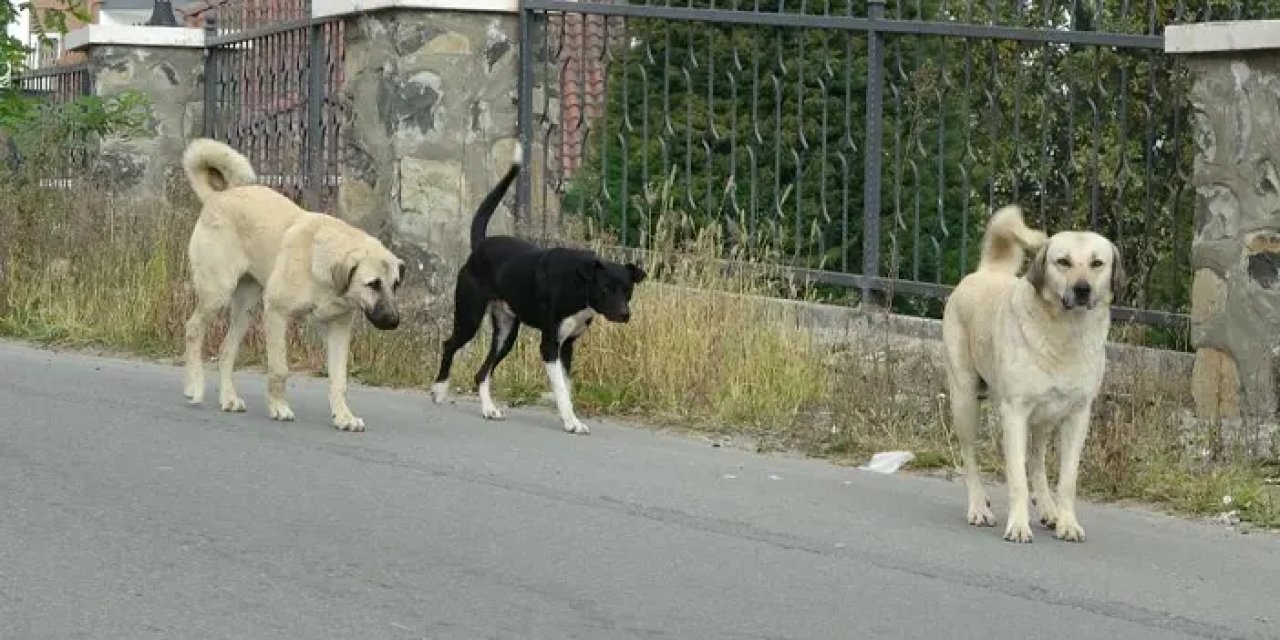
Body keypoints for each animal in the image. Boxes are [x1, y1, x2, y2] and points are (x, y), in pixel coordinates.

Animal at [180, 138, 404, 432]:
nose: (393, 321)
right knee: (193, 330)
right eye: (373, 284)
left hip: (246, 308)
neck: (321, 265)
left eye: (395, 284)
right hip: (218, 293)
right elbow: (279, 370)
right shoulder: (277, 313)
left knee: (226, 350)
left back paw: (228, 398)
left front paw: (344, 416)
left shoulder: (338, 329)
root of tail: (217, 197)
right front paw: (279, 407)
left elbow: (339, 380)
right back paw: (194, 387)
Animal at [432, 147, 650, 432]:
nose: (625, 314)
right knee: (450, 345)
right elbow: (561, 388)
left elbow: (567, 387)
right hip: (469, 319)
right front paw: (572, 422)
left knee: (482, 372)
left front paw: (569, 417)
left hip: (506, 334)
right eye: (606, 288)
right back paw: (439, 390)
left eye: (628, 290)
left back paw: (489, 409)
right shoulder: (550, 346)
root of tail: (480, 246)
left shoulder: (567, 347)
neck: (578, 286)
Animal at [942, 202, 1121, 542]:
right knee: (970, 457)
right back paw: (978, 507)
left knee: (1037, 461)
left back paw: (1049, 510)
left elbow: (1067, 480)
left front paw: (1067, 523)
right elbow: (1016, 479)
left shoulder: (1077, 416)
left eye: (1097, 263)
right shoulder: (1014, 412)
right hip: (965, 401)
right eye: (1063, 262)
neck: (1066, 333)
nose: (1082, 290)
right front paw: (1018, 525)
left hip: (1044, 419)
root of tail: (988, 271)